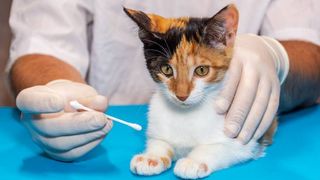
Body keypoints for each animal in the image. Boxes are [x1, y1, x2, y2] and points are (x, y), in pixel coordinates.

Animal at [124, 4, 276, 179]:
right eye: (166, 69)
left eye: (201, 70)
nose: (182, 95)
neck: (186, 115)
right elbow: (159, 141)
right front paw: (152, 157)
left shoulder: (244, 141)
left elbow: (219, 147)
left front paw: (193, 161)